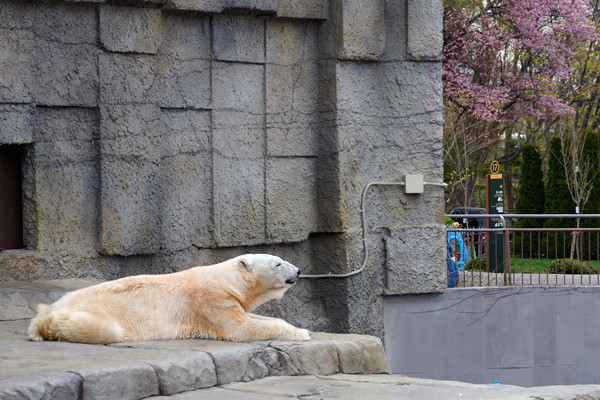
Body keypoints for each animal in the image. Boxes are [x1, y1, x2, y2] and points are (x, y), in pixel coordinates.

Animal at [27, 253, 310, 344]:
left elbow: (255, 317)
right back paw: (47, 326)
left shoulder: (227, 301)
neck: (224, 280)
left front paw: (302, 328)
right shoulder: (211, 303)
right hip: (106, 316)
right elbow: (243, 327)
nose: (298, 270)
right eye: (278, 263)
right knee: (99, 329)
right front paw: (303, 333)